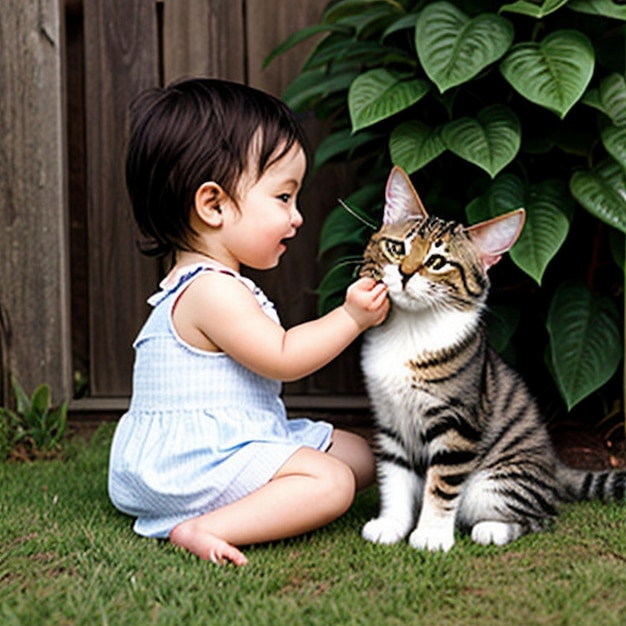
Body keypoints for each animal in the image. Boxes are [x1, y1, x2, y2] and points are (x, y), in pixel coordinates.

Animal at [358, 166, 620, 552]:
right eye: (396, 247)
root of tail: (554, 468)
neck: (409, 331)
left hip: (492, 483)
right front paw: (391, 524)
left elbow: (441, 485)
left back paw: (493, 529)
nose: (404, 272)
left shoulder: (458, 422)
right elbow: (394, 478)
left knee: (543, 515)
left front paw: (431, 535)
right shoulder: (390, 421)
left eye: (437, 262)